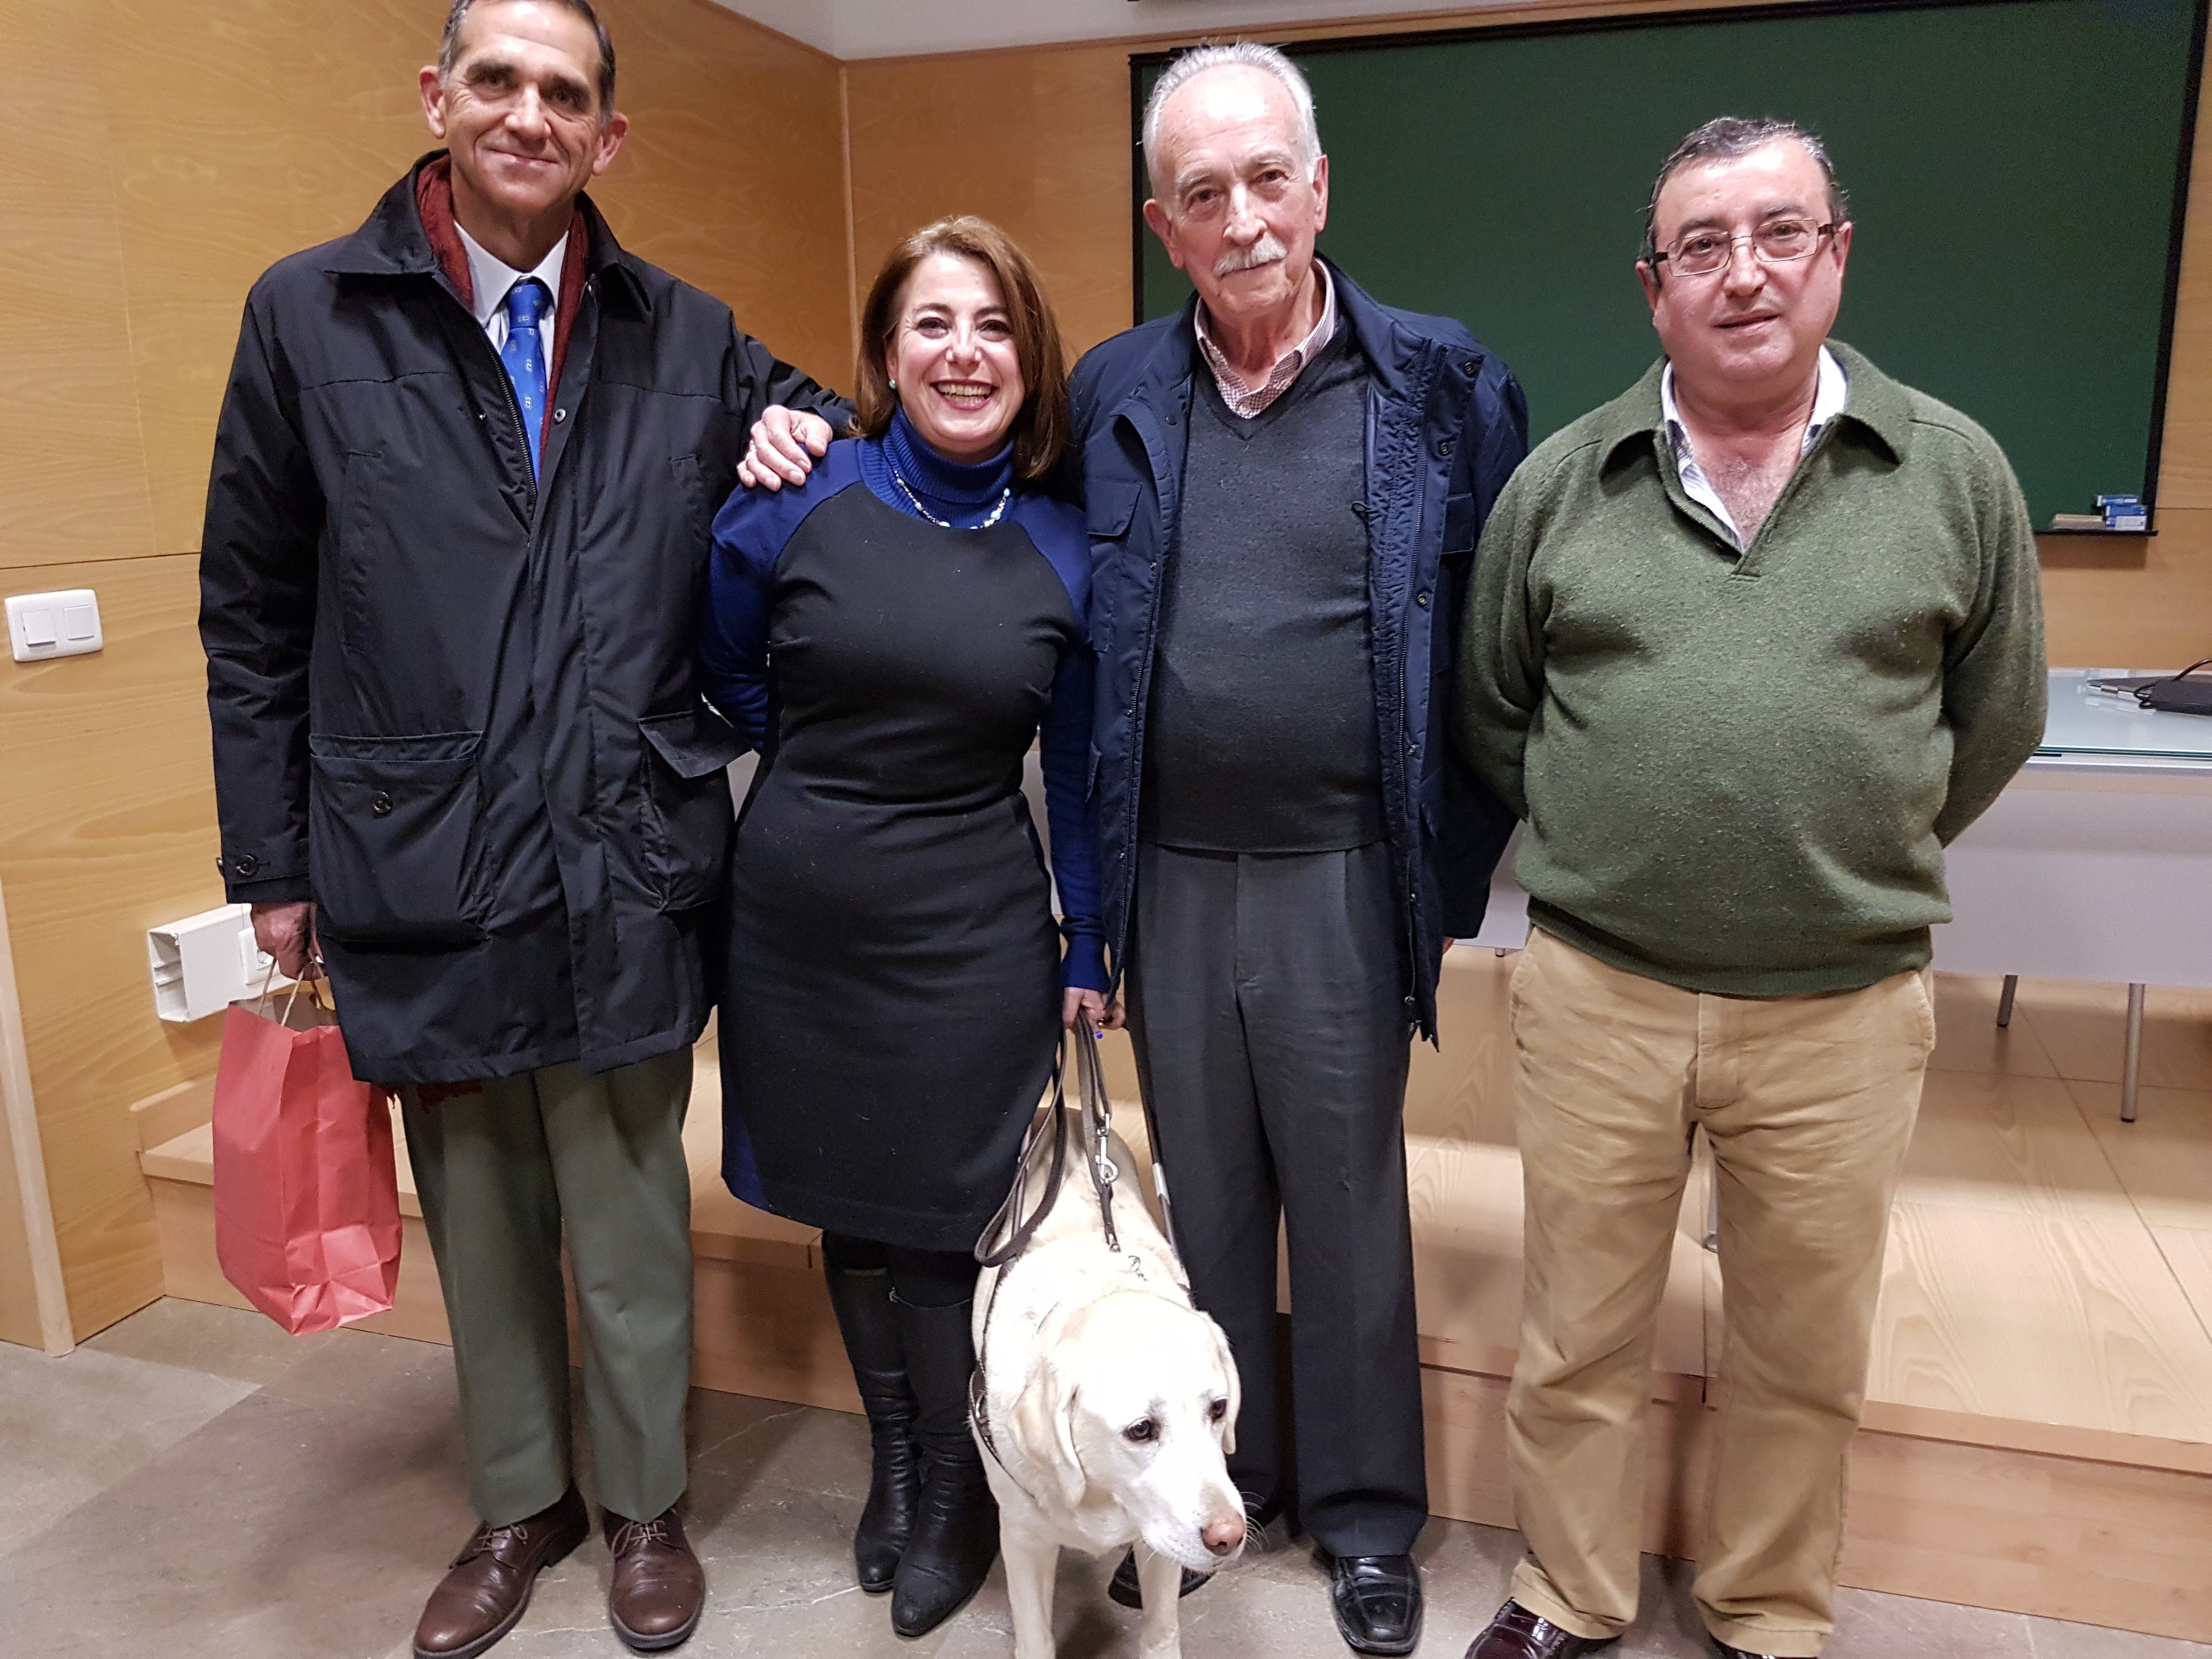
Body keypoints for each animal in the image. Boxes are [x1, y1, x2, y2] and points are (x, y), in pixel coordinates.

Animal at [971, 1104, 1247, 1659]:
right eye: (1141, 1430)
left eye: (1218, 1409)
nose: (1230, 1536)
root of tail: (1072, 1111)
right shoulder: (1024, 1538)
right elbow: (1035, 1638)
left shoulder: (1158, 1549)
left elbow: (1160, 1634)